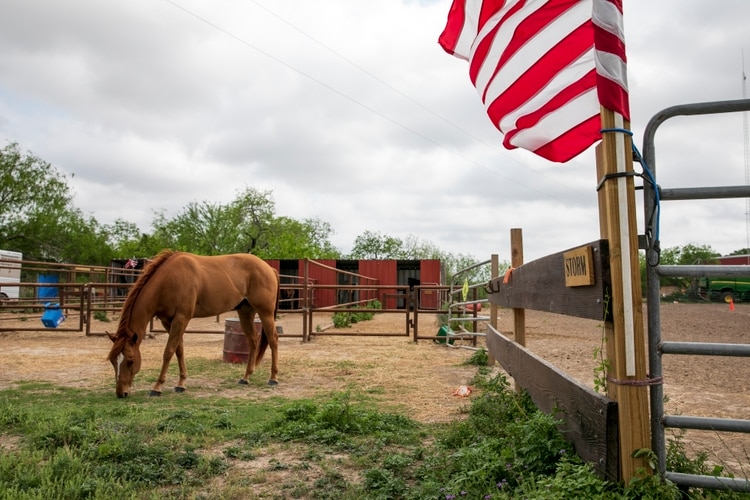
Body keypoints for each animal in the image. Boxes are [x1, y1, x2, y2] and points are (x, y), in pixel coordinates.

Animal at [107, 250, 280, 398]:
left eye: (130, 360)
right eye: (113, 361)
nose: (121, 393)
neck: (168, 280)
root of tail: (269, 268)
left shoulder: (181, 319)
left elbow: (168, 351)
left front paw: (157, 387)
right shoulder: (168, 322)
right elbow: (179, 350)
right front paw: (181, 384)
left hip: (265, 313)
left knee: (273, 340)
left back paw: (273, 378)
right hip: (245, 312)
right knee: (253, 341)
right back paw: (246, 377)